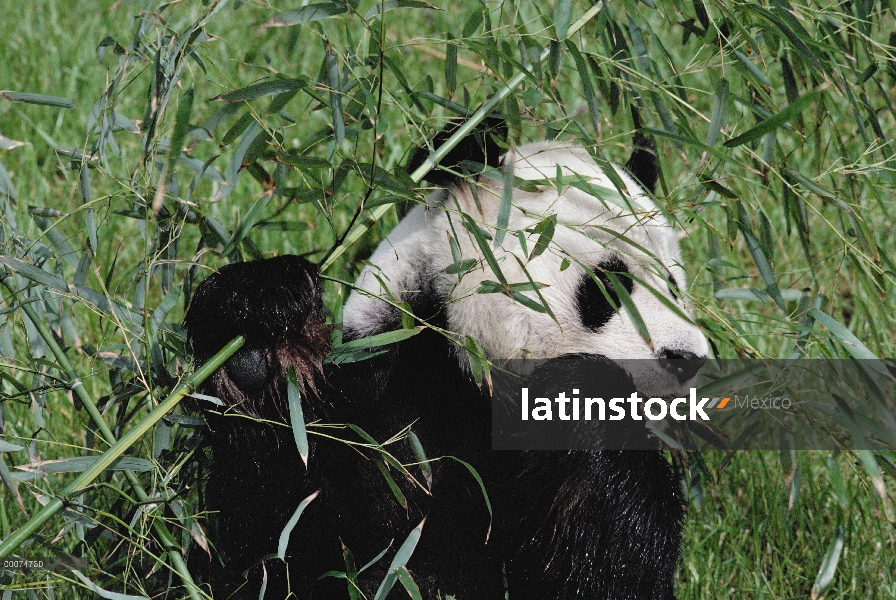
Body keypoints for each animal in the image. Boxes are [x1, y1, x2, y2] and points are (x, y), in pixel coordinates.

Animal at [187, 118, 708, 600]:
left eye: (674, 286)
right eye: (609, 285)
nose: (687, 358)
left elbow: (615, 551)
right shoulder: (384, 389)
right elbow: (283, 540)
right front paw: (259, 341)